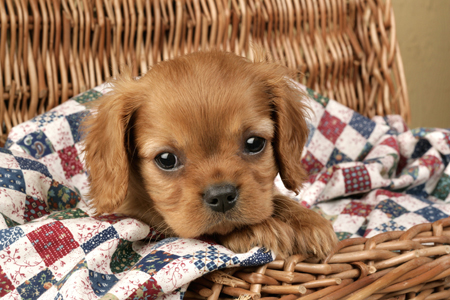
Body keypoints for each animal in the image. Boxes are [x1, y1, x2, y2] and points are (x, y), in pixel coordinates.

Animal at [83, 50, 338, 258]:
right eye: (166, 159)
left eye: (254, 143)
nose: (222, 196)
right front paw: (258, 228)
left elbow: (275, 198)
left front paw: (307, 221)